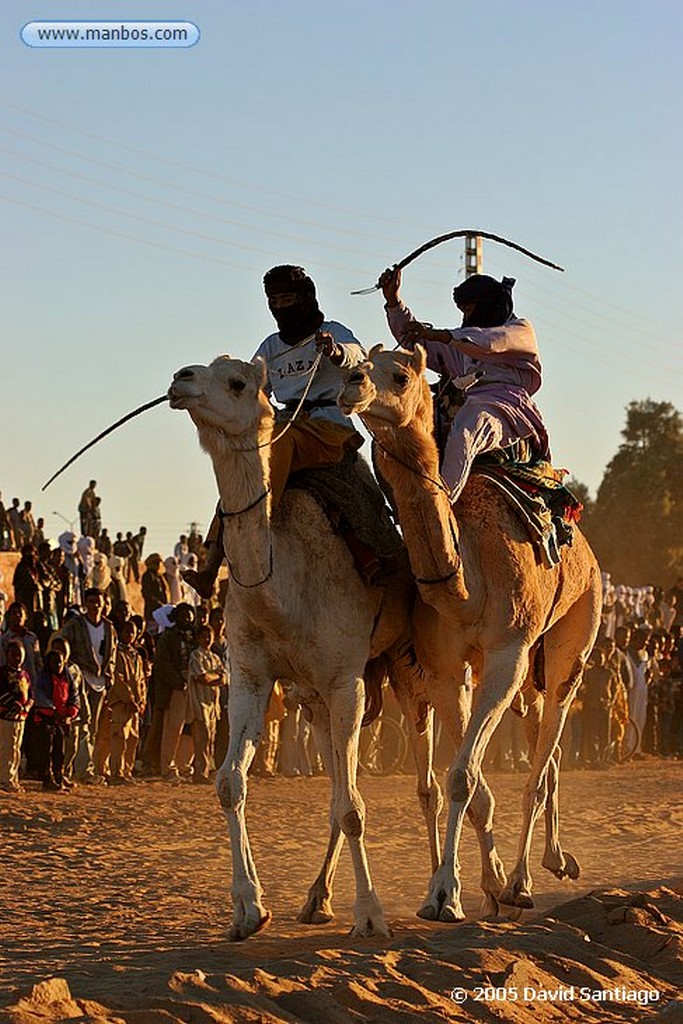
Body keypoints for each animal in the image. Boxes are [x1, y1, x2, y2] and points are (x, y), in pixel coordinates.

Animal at [339, 346, 602, 921]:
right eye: (361, 361)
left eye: (400, 375)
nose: (351, 383)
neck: (465, 580)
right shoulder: (444, 669)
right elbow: (468, 781)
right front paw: (463, 889)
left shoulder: (507, 654)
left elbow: (464, 776)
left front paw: (451, 893)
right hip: (526, 674)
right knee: (543, 751)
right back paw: (549, 862)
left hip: (576, 628)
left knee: (546, 751)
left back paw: (529, 878)